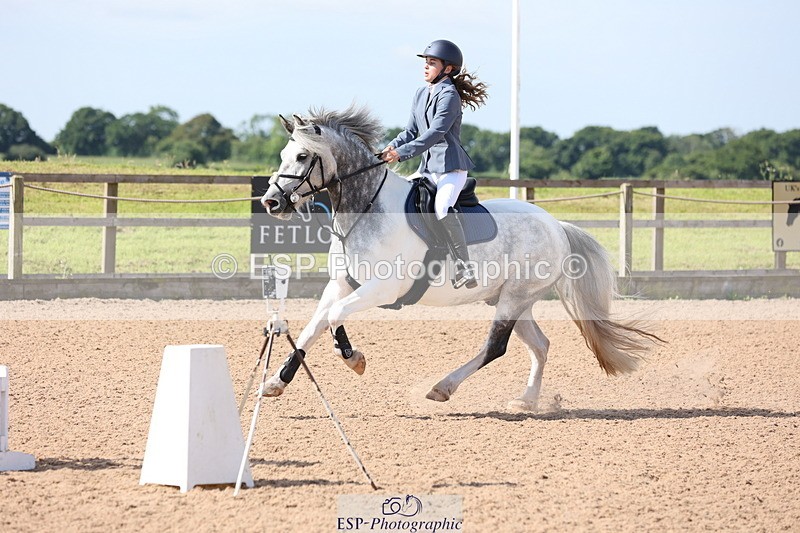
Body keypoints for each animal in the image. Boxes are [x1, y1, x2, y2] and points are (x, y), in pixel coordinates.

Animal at [259, 105, 662, 411]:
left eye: (302, 156)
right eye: (282, 156)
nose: (271, 202)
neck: (366, 210)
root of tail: (556, 225)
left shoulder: (382, 288)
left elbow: (334, 317)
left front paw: (353, 359)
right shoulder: (341, 283)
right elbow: (314, 325)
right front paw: (276, 382)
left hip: (514, 297)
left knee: (496, 346)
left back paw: (443, 387)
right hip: (515, 299)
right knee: (540, 345)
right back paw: (527, 400)